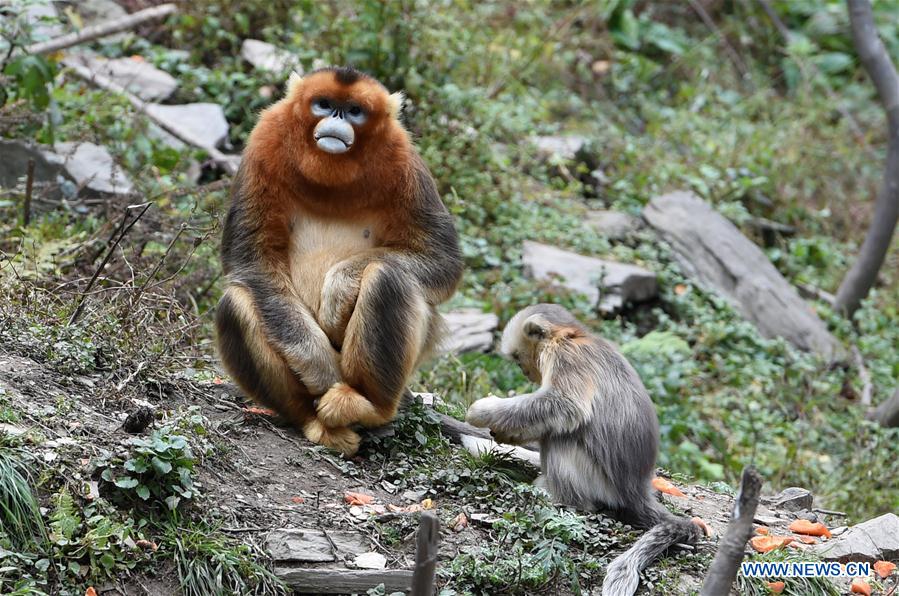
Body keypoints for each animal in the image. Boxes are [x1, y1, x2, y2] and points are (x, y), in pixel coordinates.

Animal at [218, 66, 464, 456]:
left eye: (354, 111)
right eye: (324, 104)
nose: (337, 119)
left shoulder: (402, 158)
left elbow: (442, 261)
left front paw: (339, 289)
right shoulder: (265, 140)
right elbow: (251, 262)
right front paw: (319, 366)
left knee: (386, 277)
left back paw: (369, 405)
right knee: (236, 303)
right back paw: (312, 421)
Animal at [468, 304, 708, 592]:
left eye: (517, 357)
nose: (524, 371)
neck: (572, 336)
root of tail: (636, 490)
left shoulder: (565, 357)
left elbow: (565, 405)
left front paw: (483, 412)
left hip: (598, 482)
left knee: (561, 436)